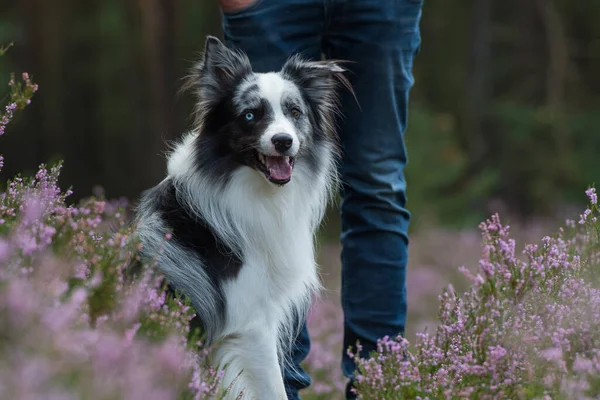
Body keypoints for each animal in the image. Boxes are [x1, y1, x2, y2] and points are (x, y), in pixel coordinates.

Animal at [134, 36, 350, 398]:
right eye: (250, 115)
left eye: (294, 112)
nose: (283, 141)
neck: (258, 190)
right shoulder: (250, 324)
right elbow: (274, 390)